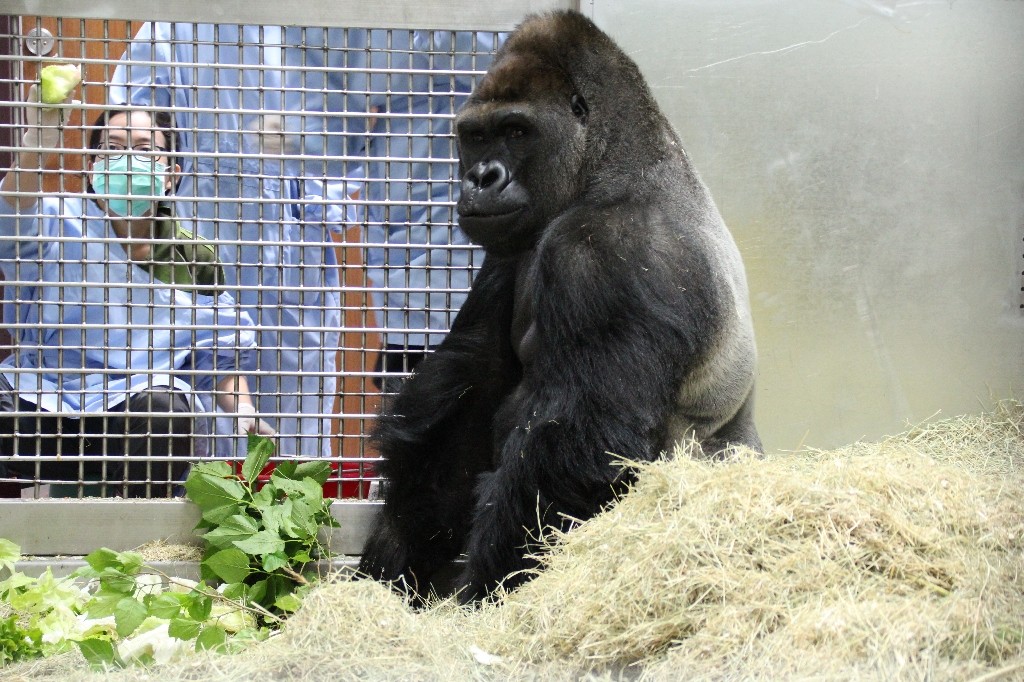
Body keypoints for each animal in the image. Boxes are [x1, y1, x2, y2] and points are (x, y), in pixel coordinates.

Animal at [360, 10, 761, 602]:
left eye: (516, 131)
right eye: (475, 136)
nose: (482, 177)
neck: (607, 165)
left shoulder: (607, 253)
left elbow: (581, 446)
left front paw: (481, 594)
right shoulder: (509, 247)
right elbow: (470, 391)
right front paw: (397, 553)